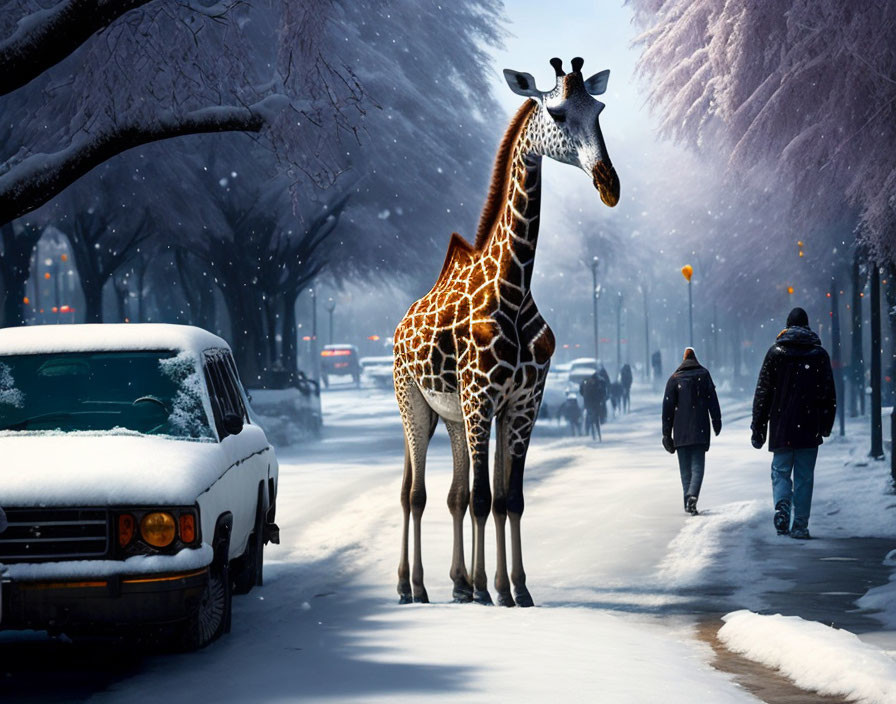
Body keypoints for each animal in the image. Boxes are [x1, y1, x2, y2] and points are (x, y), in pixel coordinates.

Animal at [396, 56, 620, 604]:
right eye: (557, 113)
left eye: (599, 108)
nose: (609, 184)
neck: (514, 290)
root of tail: (398, 326)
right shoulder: (482, 400)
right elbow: (482, 498)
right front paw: (485, 591)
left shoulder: (522, 403)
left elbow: (506, 498)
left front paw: (512, 588)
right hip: (412, 403)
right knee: (414, 493)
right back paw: (413, 586)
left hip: (449, 416)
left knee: (451, 494)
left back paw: (454, 582)